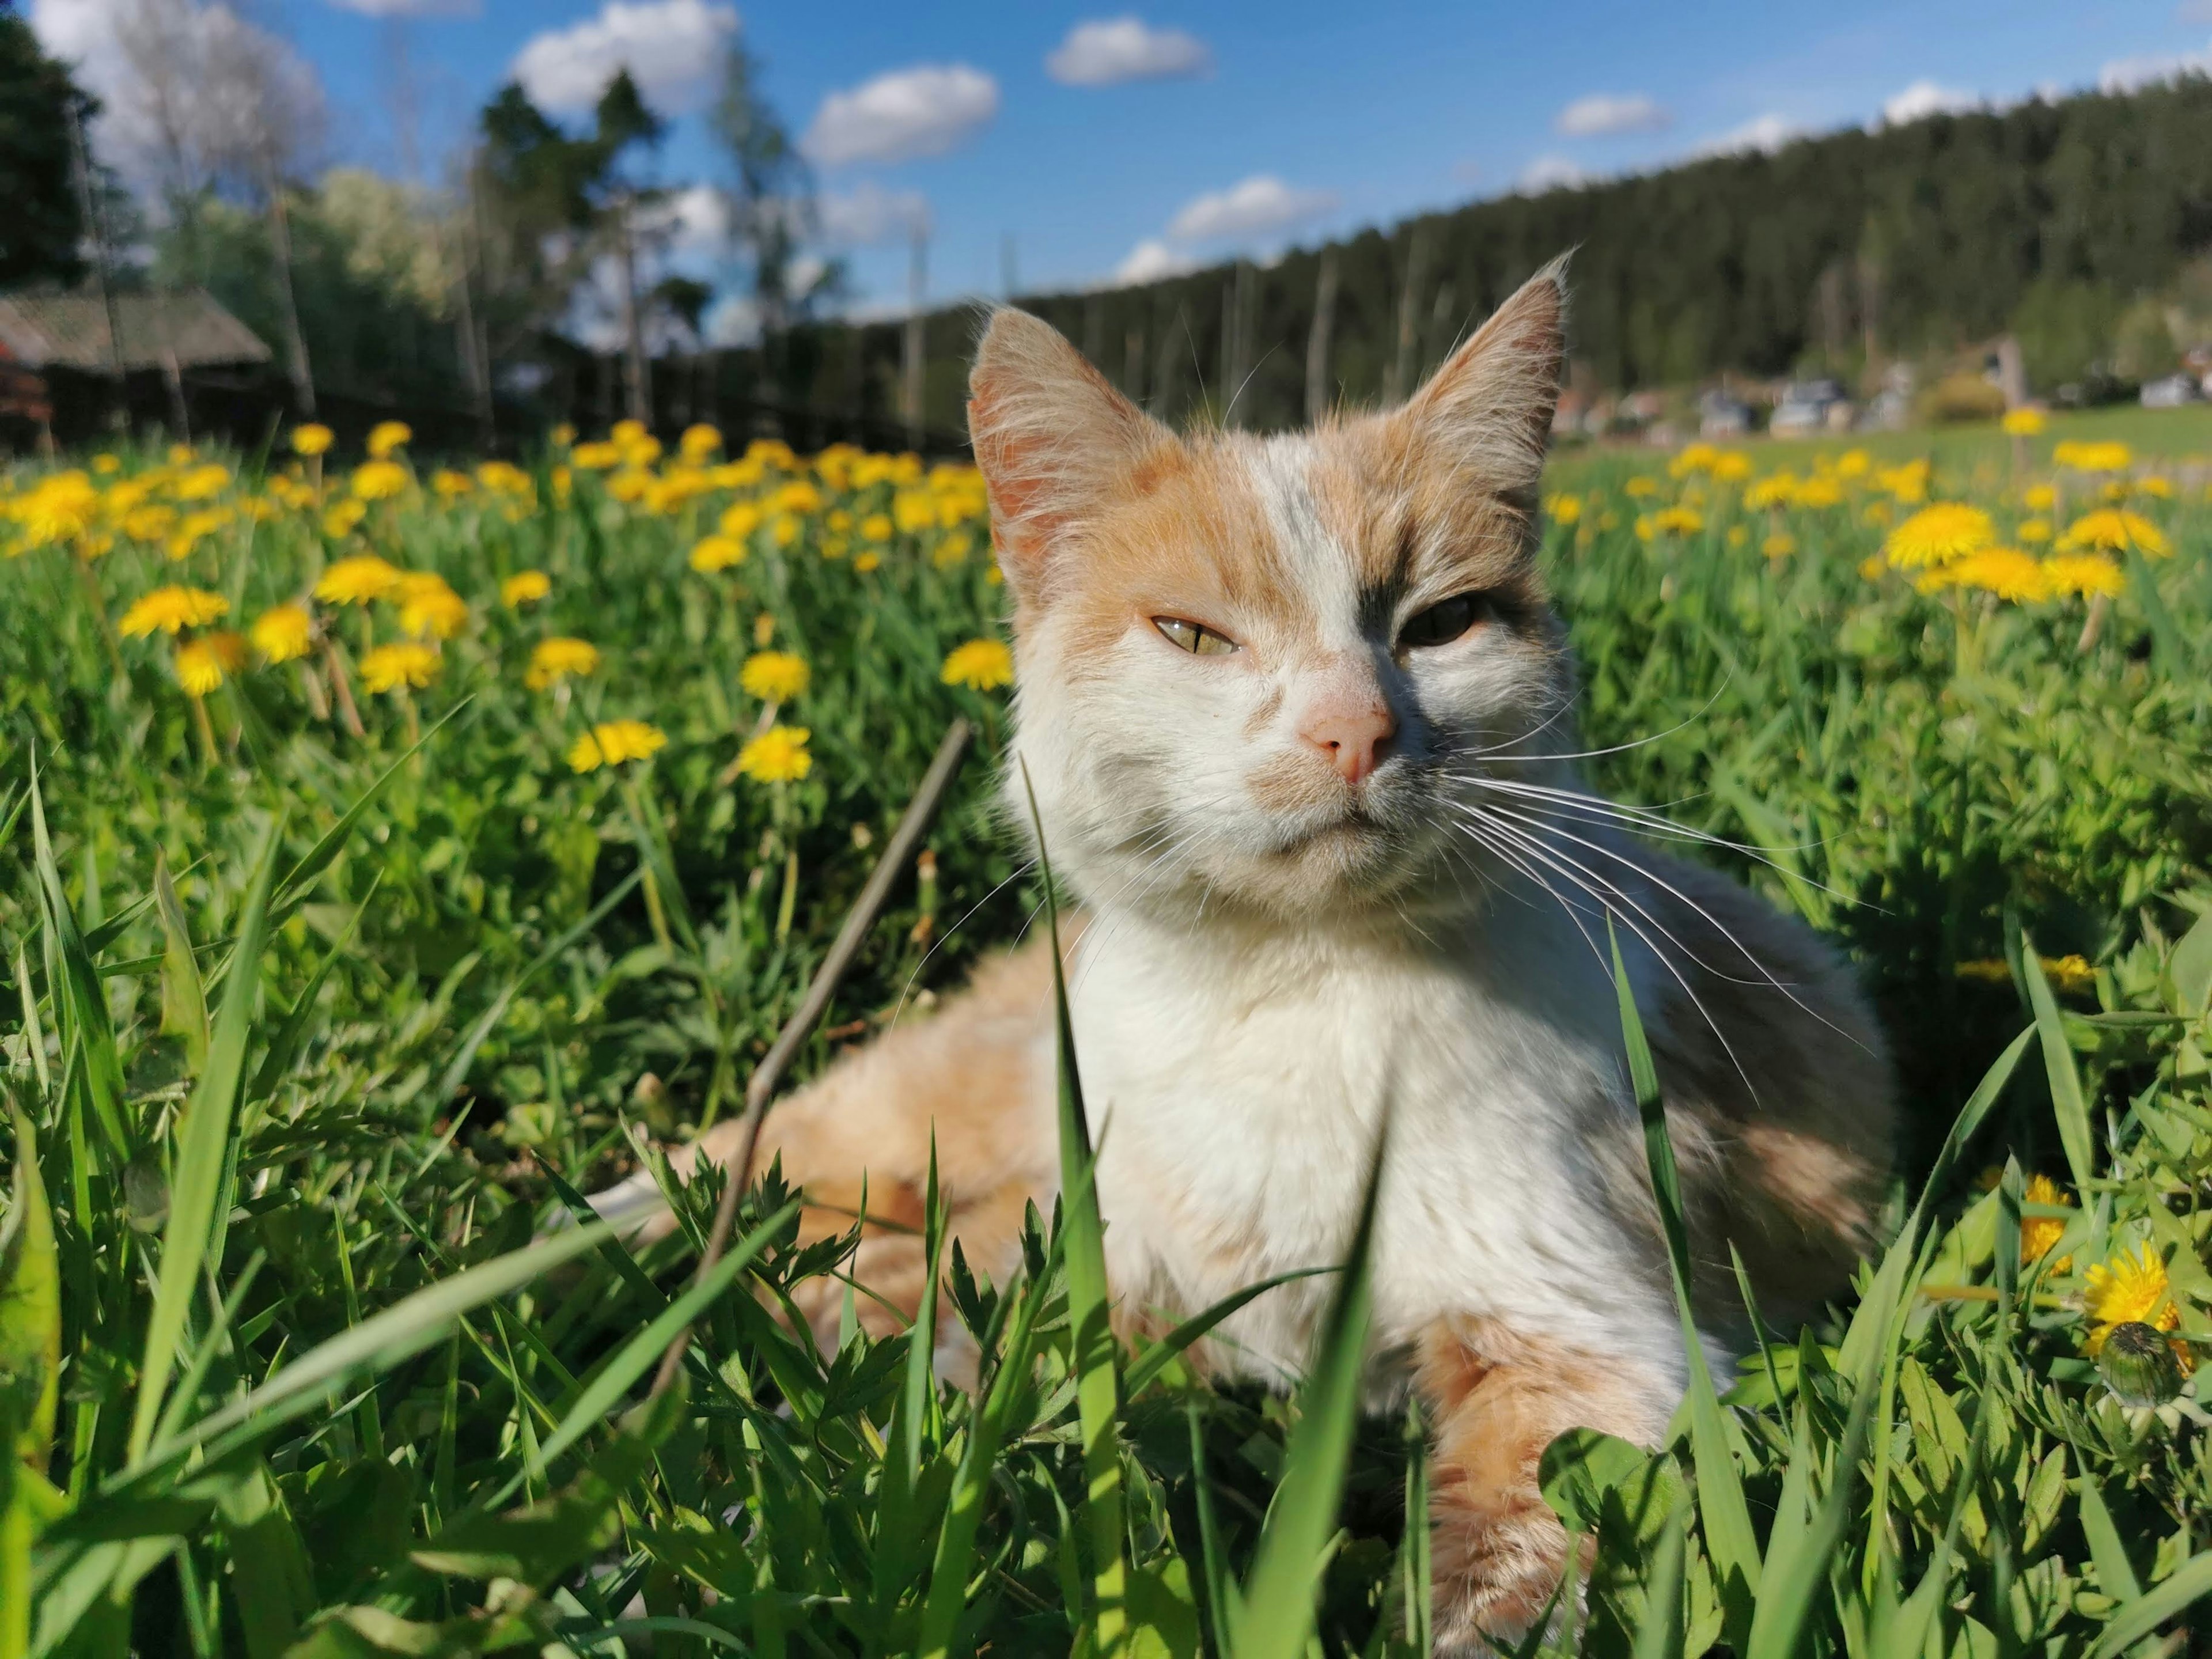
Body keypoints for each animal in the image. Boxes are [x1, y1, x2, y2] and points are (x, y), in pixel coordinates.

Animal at [593, 260, 1902, 1654]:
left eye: (1443, 623)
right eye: (1196, 636)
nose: (1355, 728)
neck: (1288, 994)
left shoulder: (1589, 1341)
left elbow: (1510, 1555)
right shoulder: (1099, 1267)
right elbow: (937, 1390)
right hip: (921, 1105)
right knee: (766, 1161)